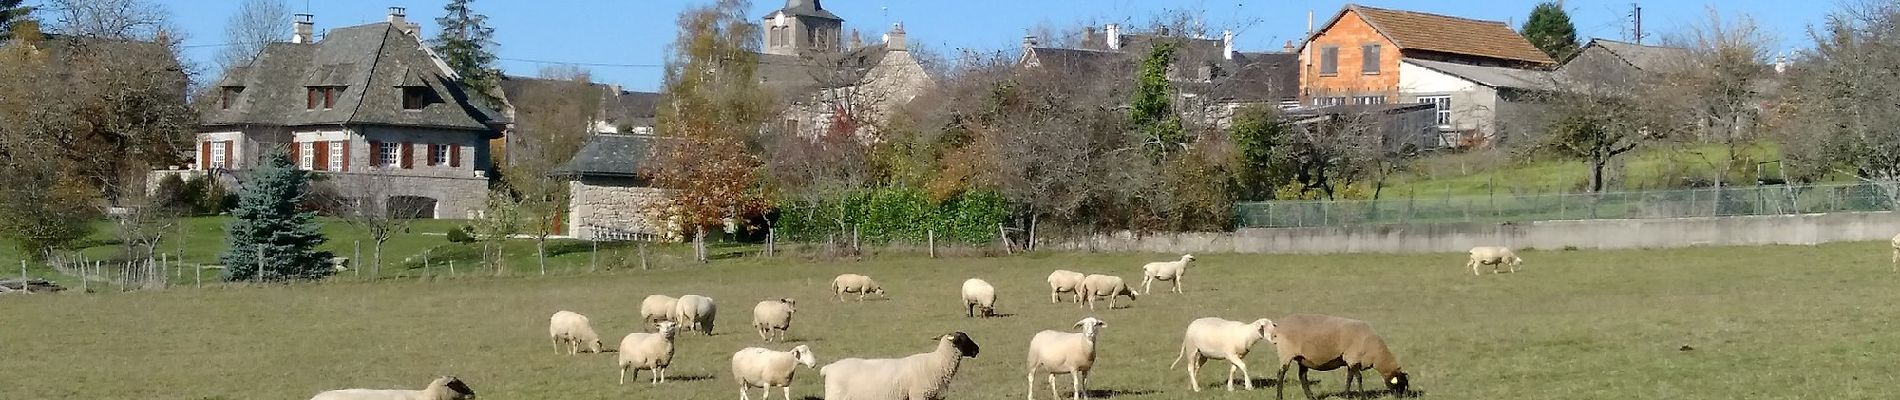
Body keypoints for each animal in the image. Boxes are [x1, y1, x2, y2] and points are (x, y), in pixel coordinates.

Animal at [824, 331, 988, 400]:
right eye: (964, 339)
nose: (977, 349)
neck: (937, 363)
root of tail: (828, 368)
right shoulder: (919, 395)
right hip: (835, 396)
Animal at [1269, 314, 1406, 398]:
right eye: (1399, 385)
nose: (1402, 397)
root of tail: (1278, 328)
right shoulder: (1352, 358)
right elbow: (1359, 378)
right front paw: (1362, 396)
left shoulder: (1351, 361)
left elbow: (1349, 378)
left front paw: (1346, 395)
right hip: (1286, 353)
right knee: (1280, 374)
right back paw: (1279, 397)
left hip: (1303, 358)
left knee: (1302, 376)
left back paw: (1311, 397)